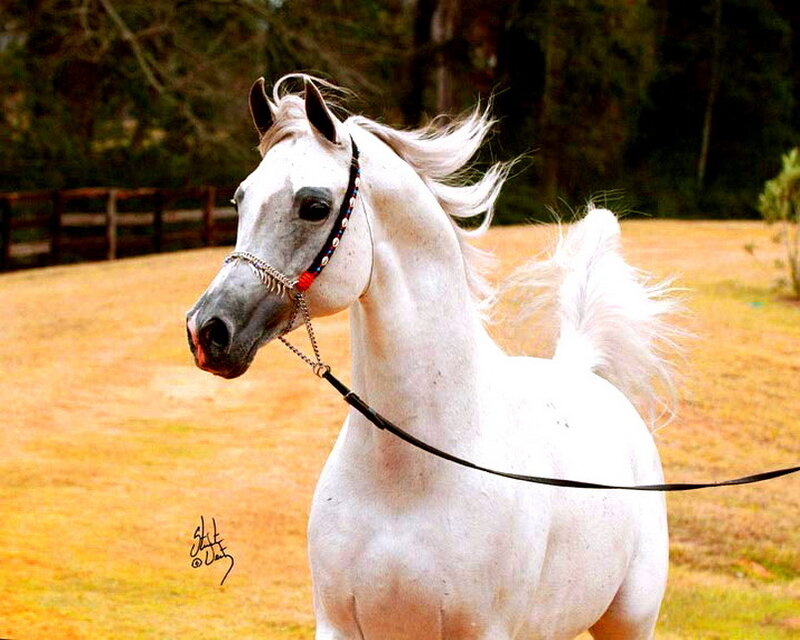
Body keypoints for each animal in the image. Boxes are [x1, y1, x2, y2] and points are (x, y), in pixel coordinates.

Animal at [186, 74, 675, 639]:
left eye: (314, 206)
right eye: (240, 200)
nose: (207, 331)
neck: (410, 479)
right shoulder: (339, 626)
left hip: (630, 620)